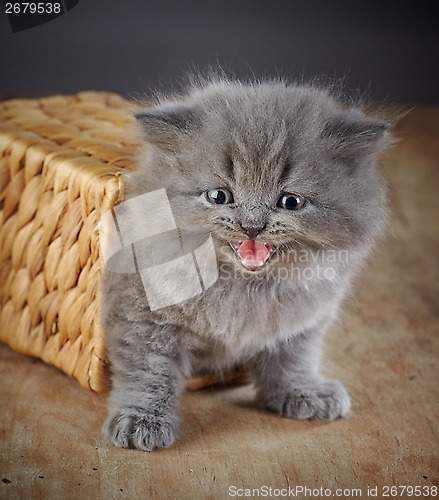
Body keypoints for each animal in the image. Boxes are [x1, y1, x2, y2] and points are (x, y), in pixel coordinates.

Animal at [101, 76, 390, 452]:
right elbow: (148, 369)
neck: (243, 286)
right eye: (219, 196)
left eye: (290, 201)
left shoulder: (303, 319)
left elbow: (292, 358)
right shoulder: (141, 309)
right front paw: (141, 421)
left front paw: (302, 392)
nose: (252, 226)